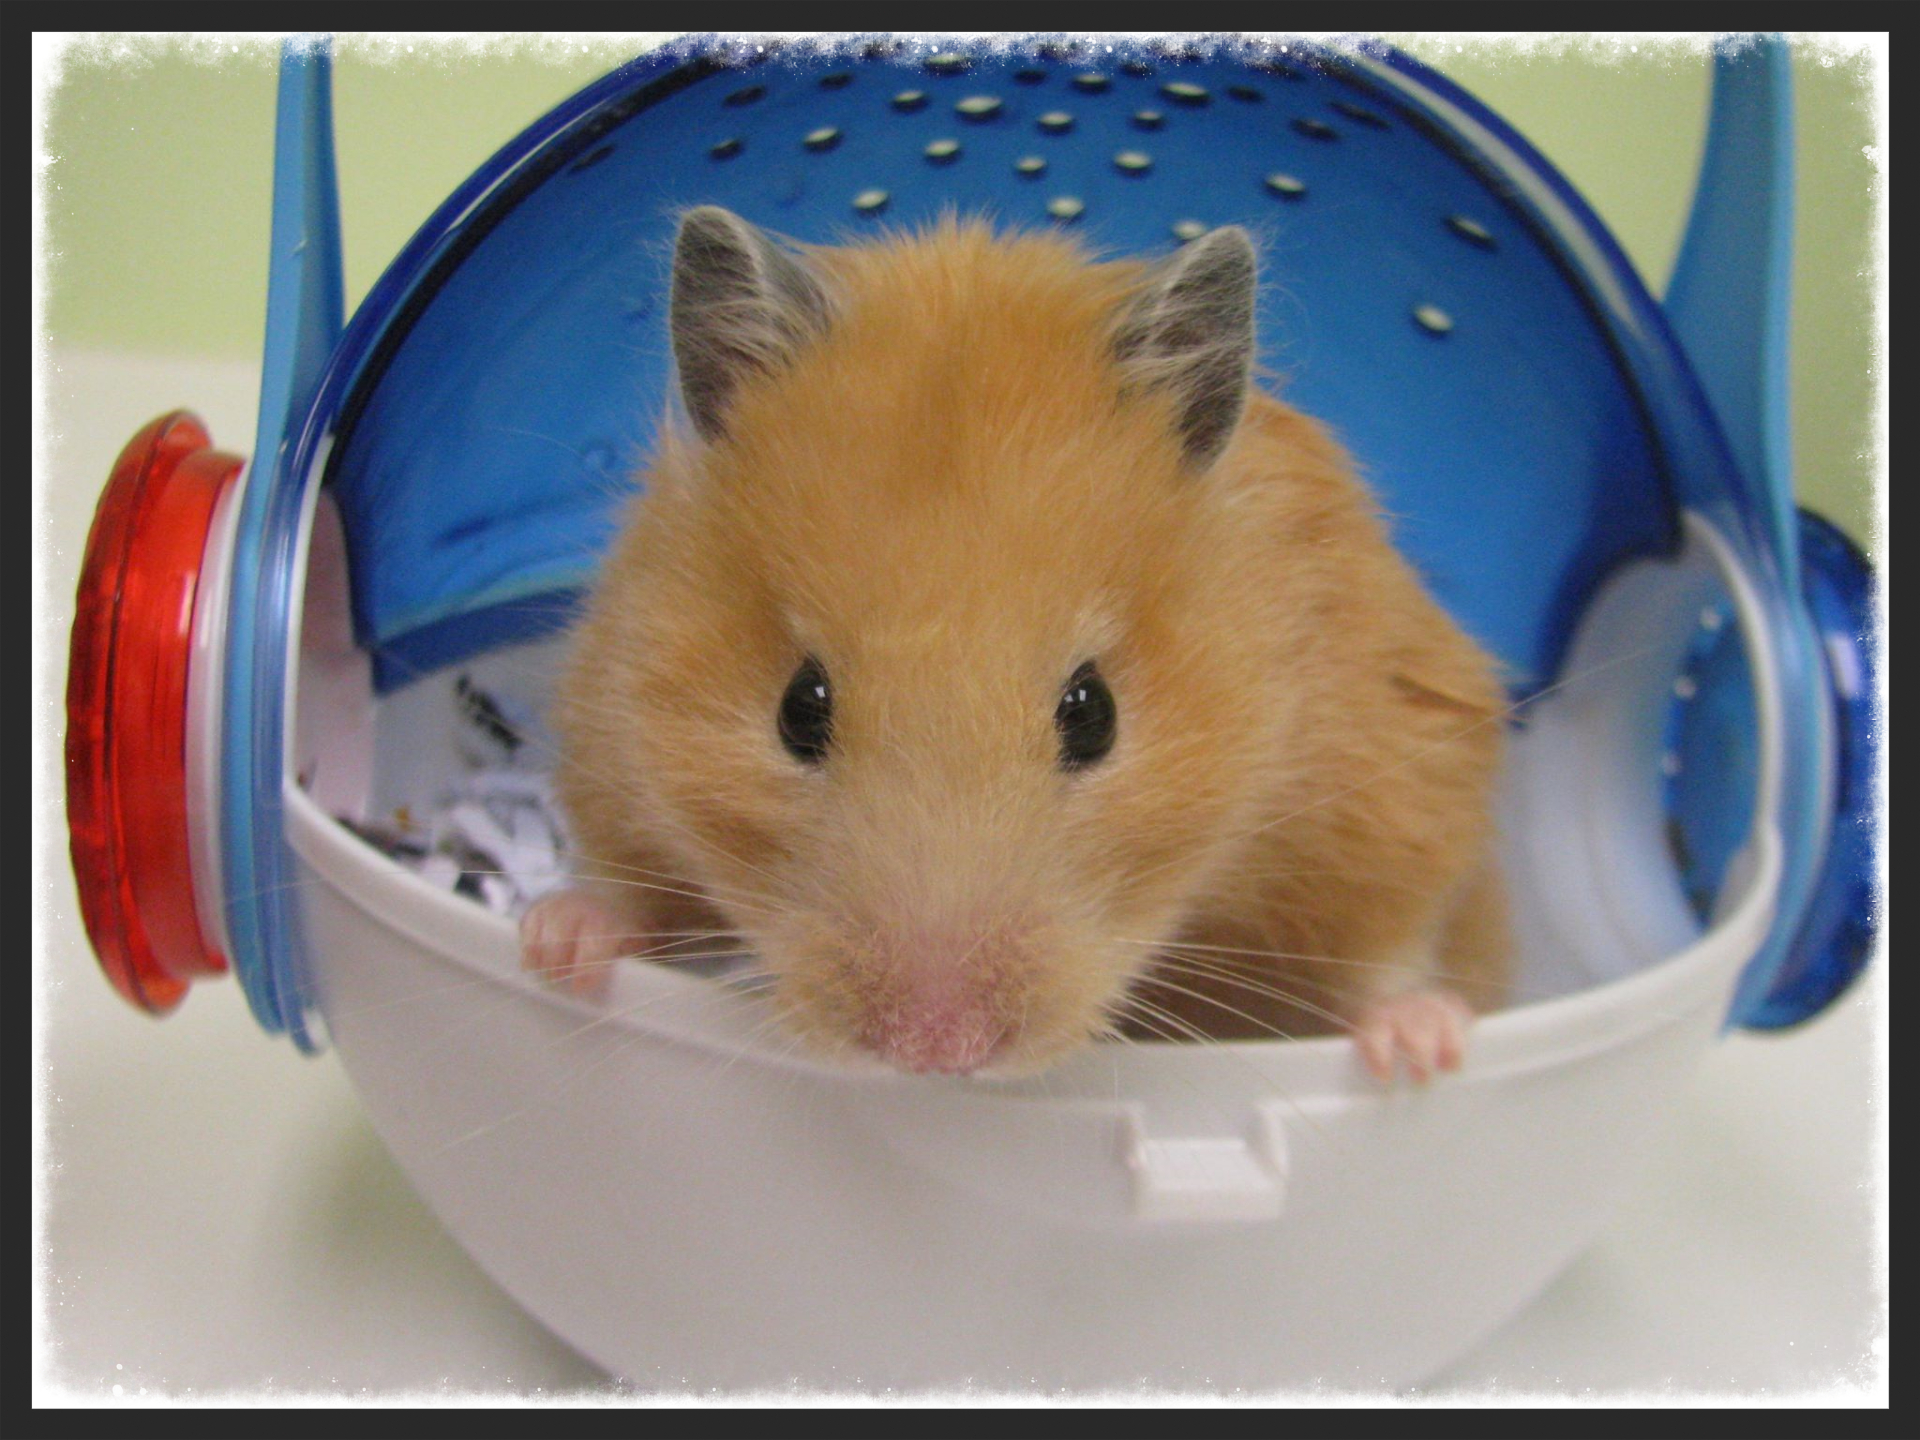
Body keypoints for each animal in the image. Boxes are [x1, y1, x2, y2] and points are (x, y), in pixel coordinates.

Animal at [520, 206, 1510, 1084]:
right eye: (798, 710)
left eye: (1095, 714)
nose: (936, 1052)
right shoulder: (610, 736)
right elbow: (621, 880)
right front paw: (555, 950)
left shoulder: (1400, 781)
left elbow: (1393, 944)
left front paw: (1421, 1055)